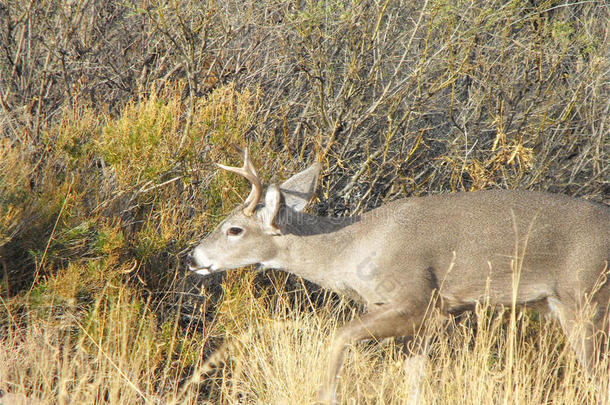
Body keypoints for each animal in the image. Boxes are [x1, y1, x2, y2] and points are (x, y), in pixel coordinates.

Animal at [188, 148, 604, 400]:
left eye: (234, 230)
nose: (194, 257)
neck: (351, 248)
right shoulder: (420, 321)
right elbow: (414, 382)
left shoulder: (419, 299)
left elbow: (339, 335)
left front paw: (326, 395)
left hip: (586, 298)